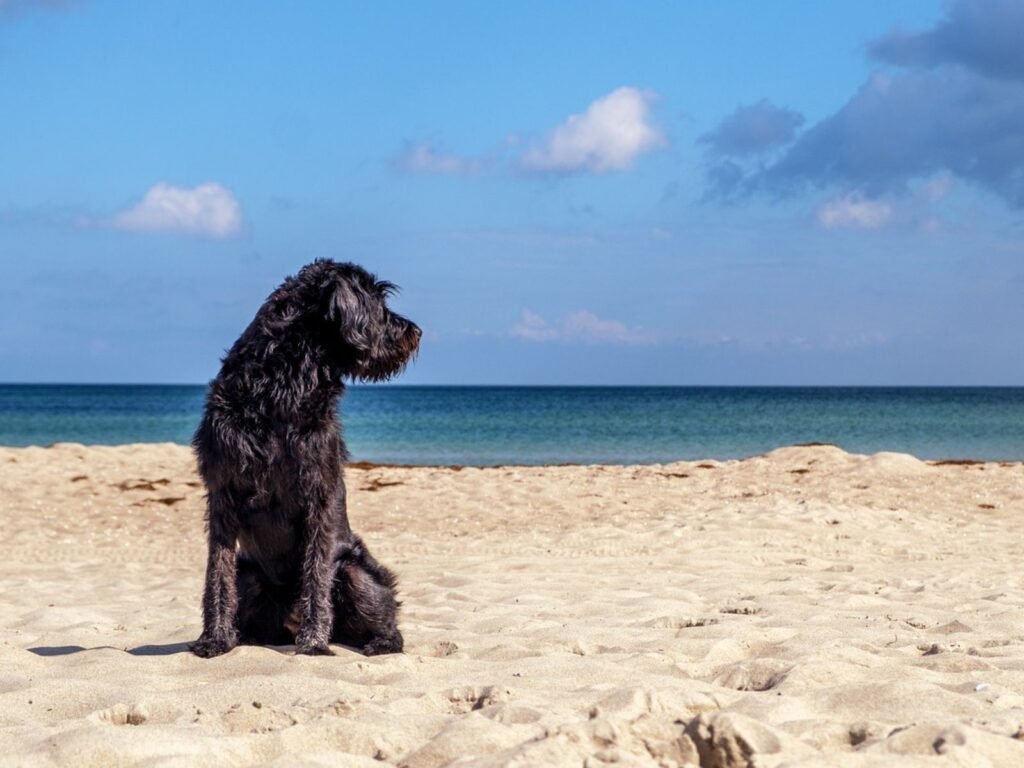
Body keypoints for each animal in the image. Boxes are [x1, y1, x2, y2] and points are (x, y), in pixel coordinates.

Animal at [190, 262, 417, 659]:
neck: (282, 385)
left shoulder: (318, 494)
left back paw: (378, 641)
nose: (415, 332)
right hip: (250, 574)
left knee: (388, 623)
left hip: (356, 572)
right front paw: (214, 638)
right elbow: (216, 574)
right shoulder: (222, 494)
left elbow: (316, 572)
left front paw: (313, 642)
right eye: (378, 302)